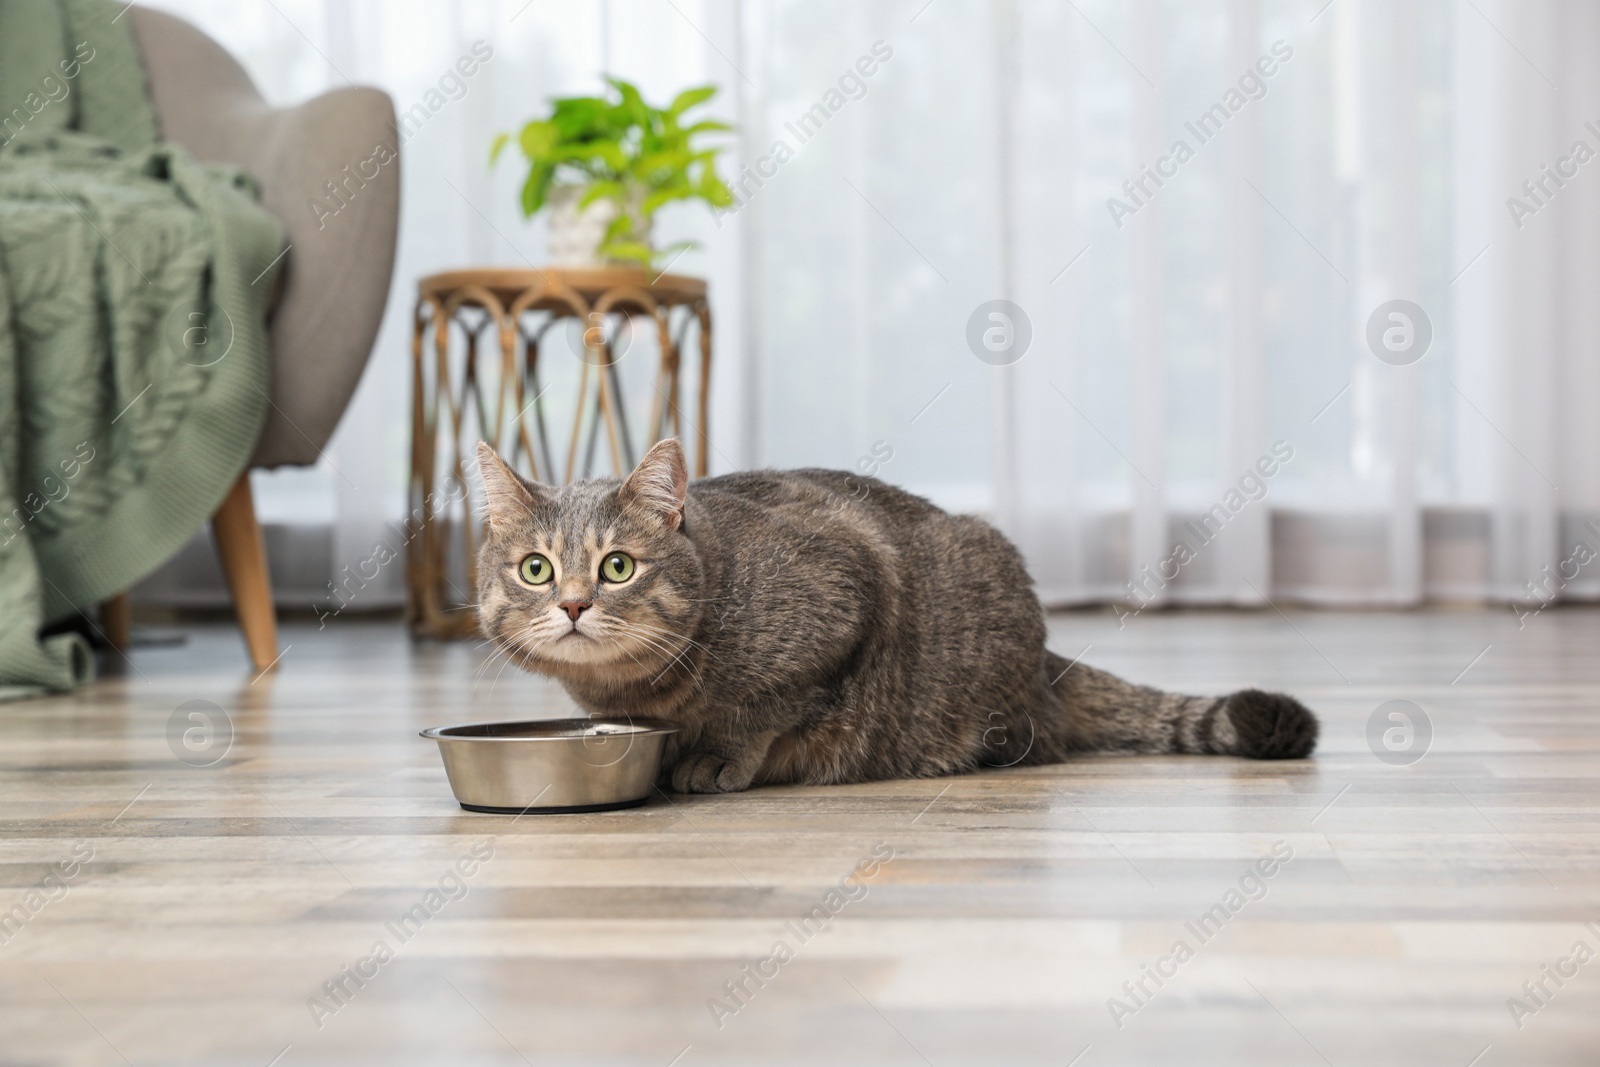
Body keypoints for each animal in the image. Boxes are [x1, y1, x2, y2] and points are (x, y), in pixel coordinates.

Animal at [470, 435, 1312, 793]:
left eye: (618, 566)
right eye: (537, 569)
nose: (573, 603)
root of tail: (1046, 663)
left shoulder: (847, 586)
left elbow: (765, 708)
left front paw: (718, 755)